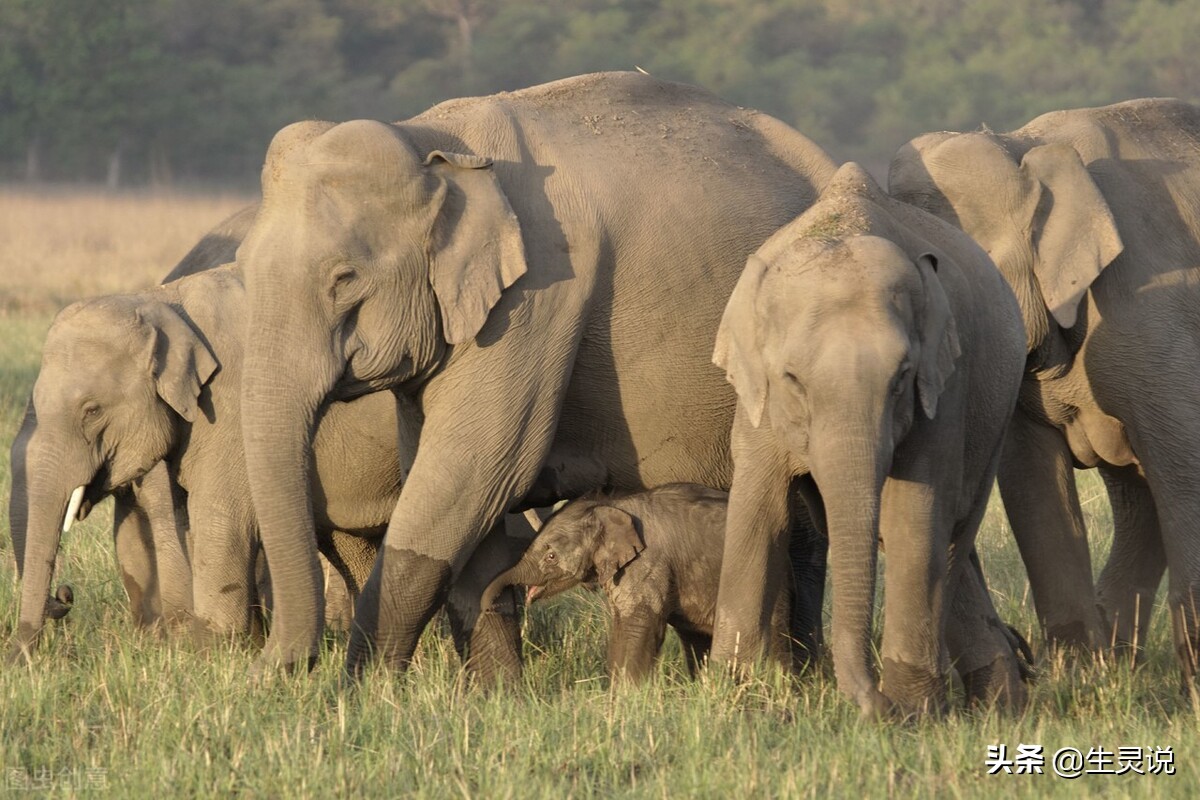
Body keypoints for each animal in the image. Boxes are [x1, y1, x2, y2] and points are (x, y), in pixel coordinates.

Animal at [477, 482, 796, 681]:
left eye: (552, 556)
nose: (489, 608)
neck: (611, 505)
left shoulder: (648, 562)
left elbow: (638, 623)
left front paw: (625, 696)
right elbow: (622, 624)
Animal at [705, 163, 1027, 719]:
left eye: (901, 378)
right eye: (792, 379)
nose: (872, 703)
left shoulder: (945, 389)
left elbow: (913, 514)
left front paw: (913, 713)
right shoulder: (757, 401)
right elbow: (759, 510)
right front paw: (732, 694)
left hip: (998, 411)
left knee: (953, 530)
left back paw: (994, 704)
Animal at [888, 97, 1200, 676]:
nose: (1022, 654)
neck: (1025, 148)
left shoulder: (1154, 311)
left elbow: (1186, 460)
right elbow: (1032, 477)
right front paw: (1081, 677)